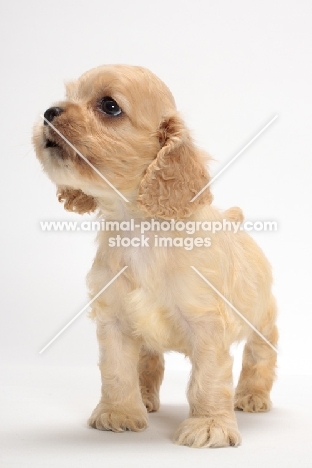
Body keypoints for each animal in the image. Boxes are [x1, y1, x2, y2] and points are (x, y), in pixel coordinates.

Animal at [33, 64, 278, 448]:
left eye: (110, 106)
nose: (48, 113)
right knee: (150, 363)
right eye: (68, 96)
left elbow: (208, 379)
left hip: (262, 316)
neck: (140, 227)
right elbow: (118, 370)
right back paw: (145, 398)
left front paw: (209, 425)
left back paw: (253, 395)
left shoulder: (207, 325)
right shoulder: (114, 320)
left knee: (260, 354)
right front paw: (119, 412)